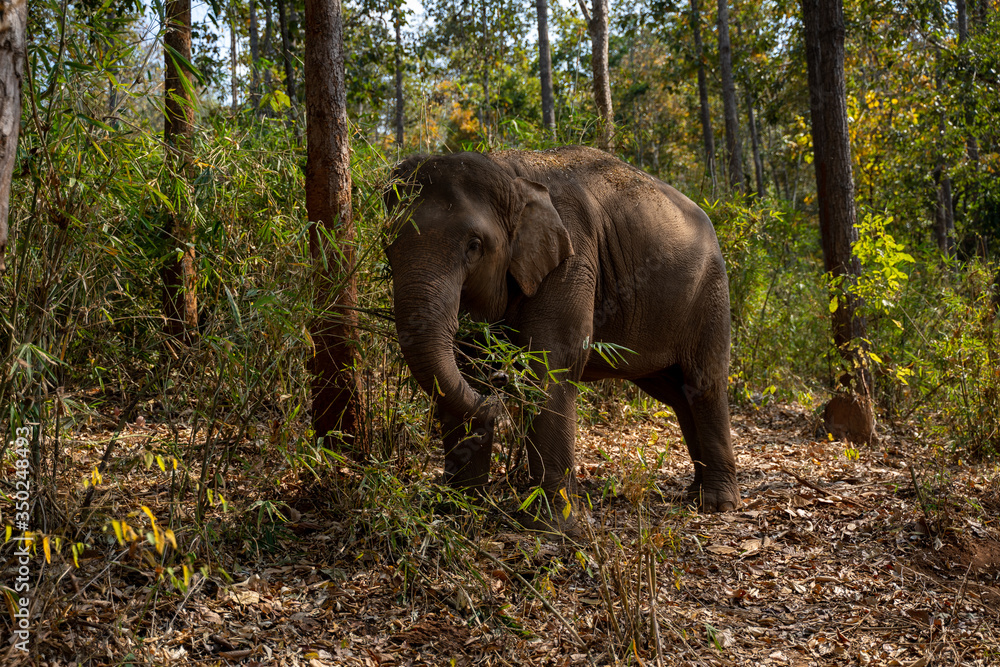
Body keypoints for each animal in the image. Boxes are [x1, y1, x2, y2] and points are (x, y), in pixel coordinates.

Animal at [383, 146, 739, 522]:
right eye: (386, 247)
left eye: (474, 246)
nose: (498, 390)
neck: (508, 171)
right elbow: (467, 365)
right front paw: (460, 510)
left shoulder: (573, 258)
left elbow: (551, 364)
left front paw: (554, 524)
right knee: (677, 393)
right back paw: (695, 493)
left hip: (711, 294)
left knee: (704, 382)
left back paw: (718, 504)